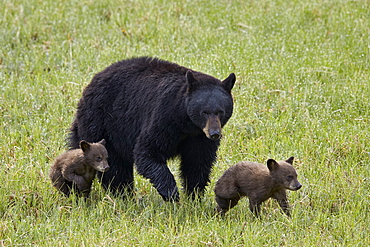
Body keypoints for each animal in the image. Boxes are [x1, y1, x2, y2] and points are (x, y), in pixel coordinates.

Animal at [68, 57, 236, 202]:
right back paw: (123, 195)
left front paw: (194, 196)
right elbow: (147, 151)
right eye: (204, 112)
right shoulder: (164, 118)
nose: (214, 134)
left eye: (221, 112)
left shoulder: (199, 137)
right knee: (115, 167)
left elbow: (197, 162)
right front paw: (171, 193)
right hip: (103, 124)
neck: (187, 124)